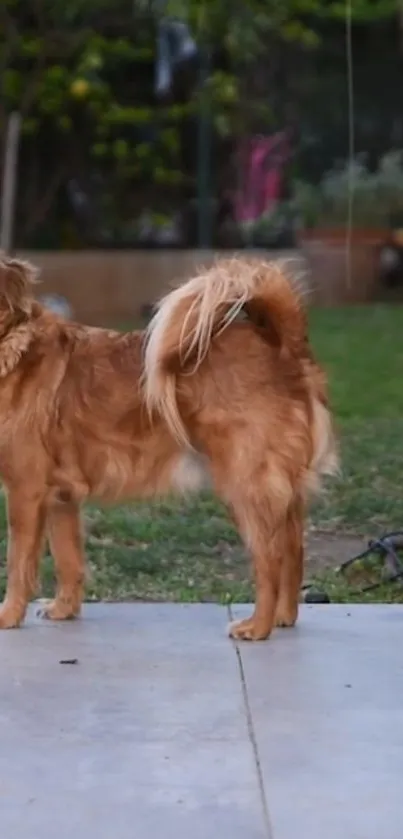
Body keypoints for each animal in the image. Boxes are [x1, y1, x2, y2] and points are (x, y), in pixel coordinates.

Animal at [0, 253, 338, 640]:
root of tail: (283, 346)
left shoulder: (26, 493)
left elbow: (18, 563)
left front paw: (8, 615)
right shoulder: (61, 499)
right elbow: (68, 560)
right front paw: (64, 609)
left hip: (245, 487)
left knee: (270, 560)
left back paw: (257, 627)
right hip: (282, 494)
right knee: (294, 549)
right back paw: (283, 616)